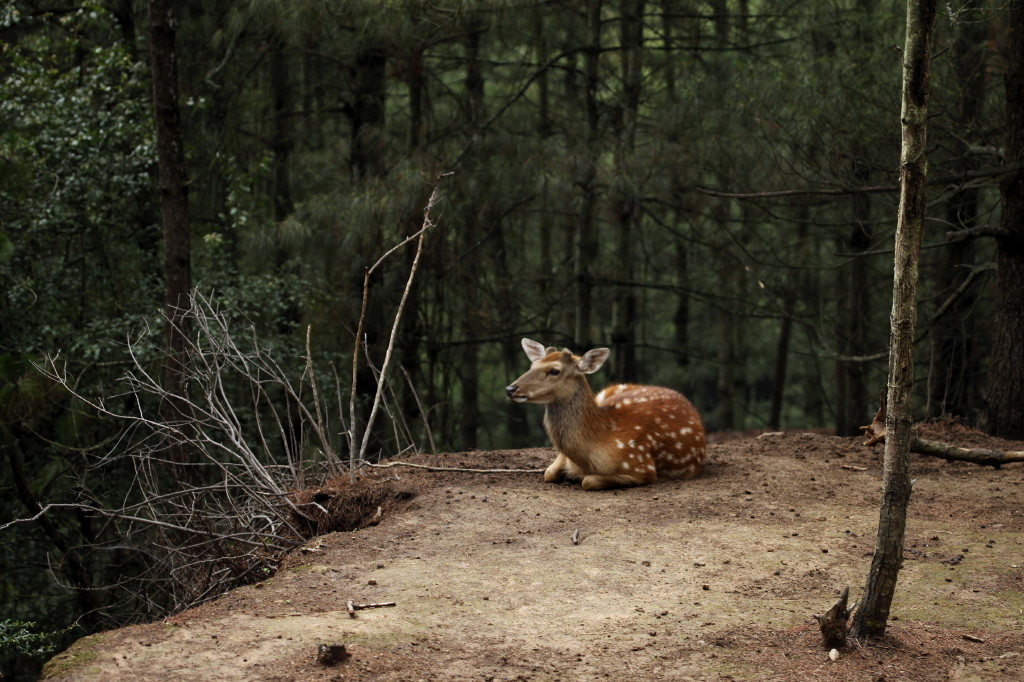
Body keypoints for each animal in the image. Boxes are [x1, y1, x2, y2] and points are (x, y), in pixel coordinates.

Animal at [503, 335, 704, 489]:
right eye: (532, 366)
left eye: (554, 371)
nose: (510, 388)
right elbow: (549, 472)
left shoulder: (642, 467)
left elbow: (588, 481)